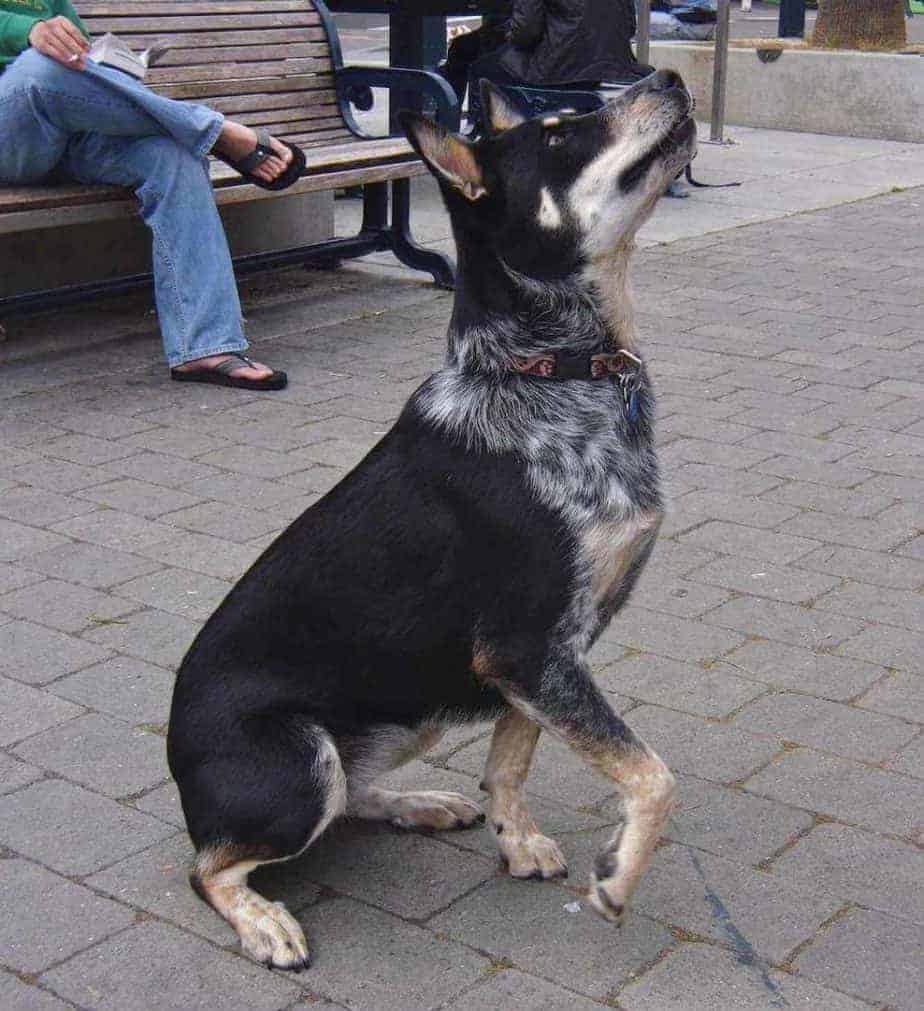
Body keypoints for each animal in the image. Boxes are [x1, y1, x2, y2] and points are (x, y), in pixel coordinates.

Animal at [168, 71, 695, 970]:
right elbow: (653, 773)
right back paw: (264, 919)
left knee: (349, 798)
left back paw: (418, 802)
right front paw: (620, 874)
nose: (668, 77)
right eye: (564, 132)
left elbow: (513, 756)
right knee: (212, 864)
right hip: (301, 762)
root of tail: (174, 761)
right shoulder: (527, 647)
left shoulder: (538, 661)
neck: (546, 370)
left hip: (405, 717)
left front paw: (516, 838)